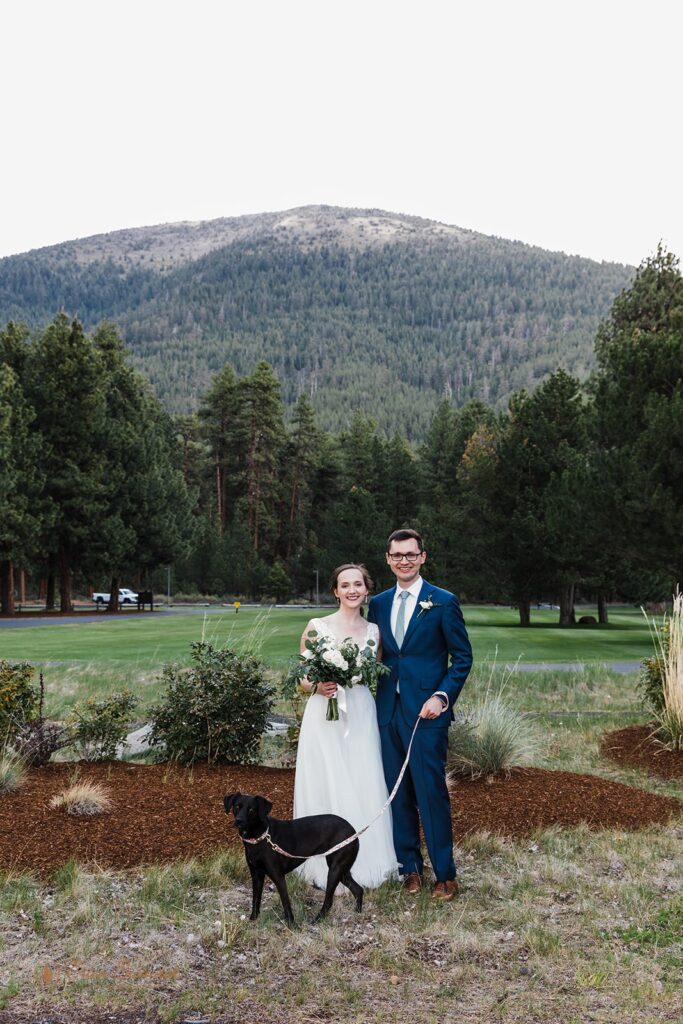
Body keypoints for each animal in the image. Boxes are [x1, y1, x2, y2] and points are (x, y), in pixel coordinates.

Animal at [224, 786, 362, 925]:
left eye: (251, 809)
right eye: (236, 806)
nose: (239, 821)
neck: (260, 838)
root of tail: (353, 831)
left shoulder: (278, 876)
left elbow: (285, 902)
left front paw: (292, 925)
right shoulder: (256, 875)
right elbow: (255, 900)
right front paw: (253, 919)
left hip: (335, 870)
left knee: (329, 901)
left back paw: (317, 920)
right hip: (342, 871)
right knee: (358, 889)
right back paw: (358, 913)